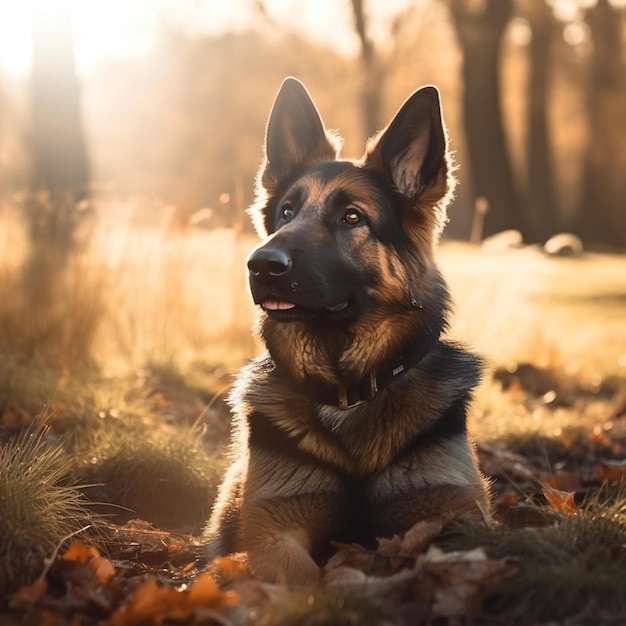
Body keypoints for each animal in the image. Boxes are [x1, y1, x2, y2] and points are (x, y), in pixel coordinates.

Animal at [202, 79, 490, 584]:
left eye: (352, 217)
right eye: (286, 213)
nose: (261, 265)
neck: (349, 389)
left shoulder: (459, 513)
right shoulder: (274, 528)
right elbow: (303, 581)